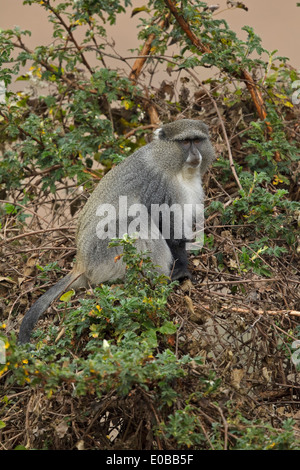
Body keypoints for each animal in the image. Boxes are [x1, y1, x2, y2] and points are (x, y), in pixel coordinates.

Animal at [18, 119, 214, 344]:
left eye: (197, 140)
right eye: (184, 142)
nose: (195, 155)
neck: (173, 166)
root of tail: (81, 263)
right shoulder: (159, 187)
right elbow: (168, 230)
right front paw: (182, 271)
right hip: (103, 256)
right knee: (134, 221)